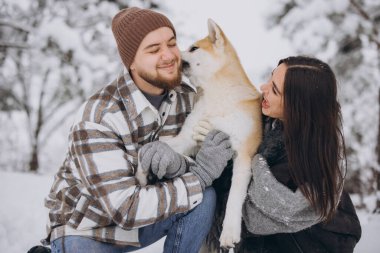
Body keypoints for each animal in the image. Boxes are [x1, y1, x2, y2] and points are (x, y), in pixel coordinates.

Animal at [137, 19, 262, 249]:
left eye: (193, 48)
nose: (175, 55)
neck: (218, 97)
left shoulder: (243, 156)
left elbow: (234, 198)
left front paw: (229, 233)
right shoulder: (189, 138)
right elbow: (157, 148)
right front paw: (143, 169)